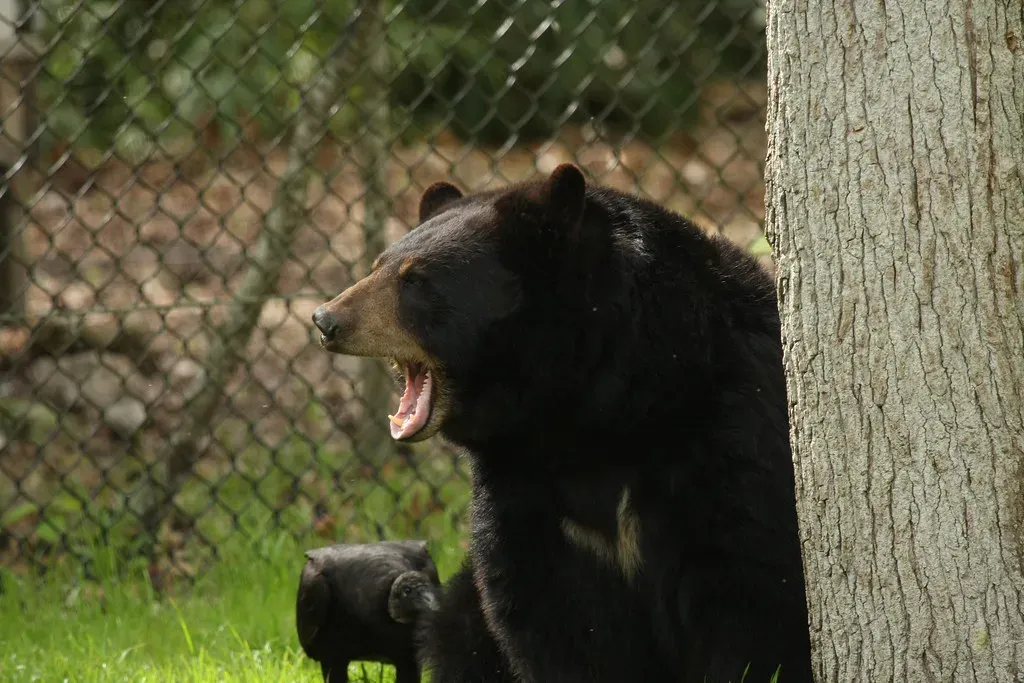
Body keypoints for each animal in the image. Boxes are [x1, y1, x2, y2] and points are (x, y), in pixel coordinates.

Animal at [312, 164, 813, 683]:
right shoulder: (523, 491)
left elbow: (747, 593)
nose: (325, 320)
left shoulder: (730, 437)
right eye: (378, 265)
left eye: (416, 279)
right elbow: (549, 615)